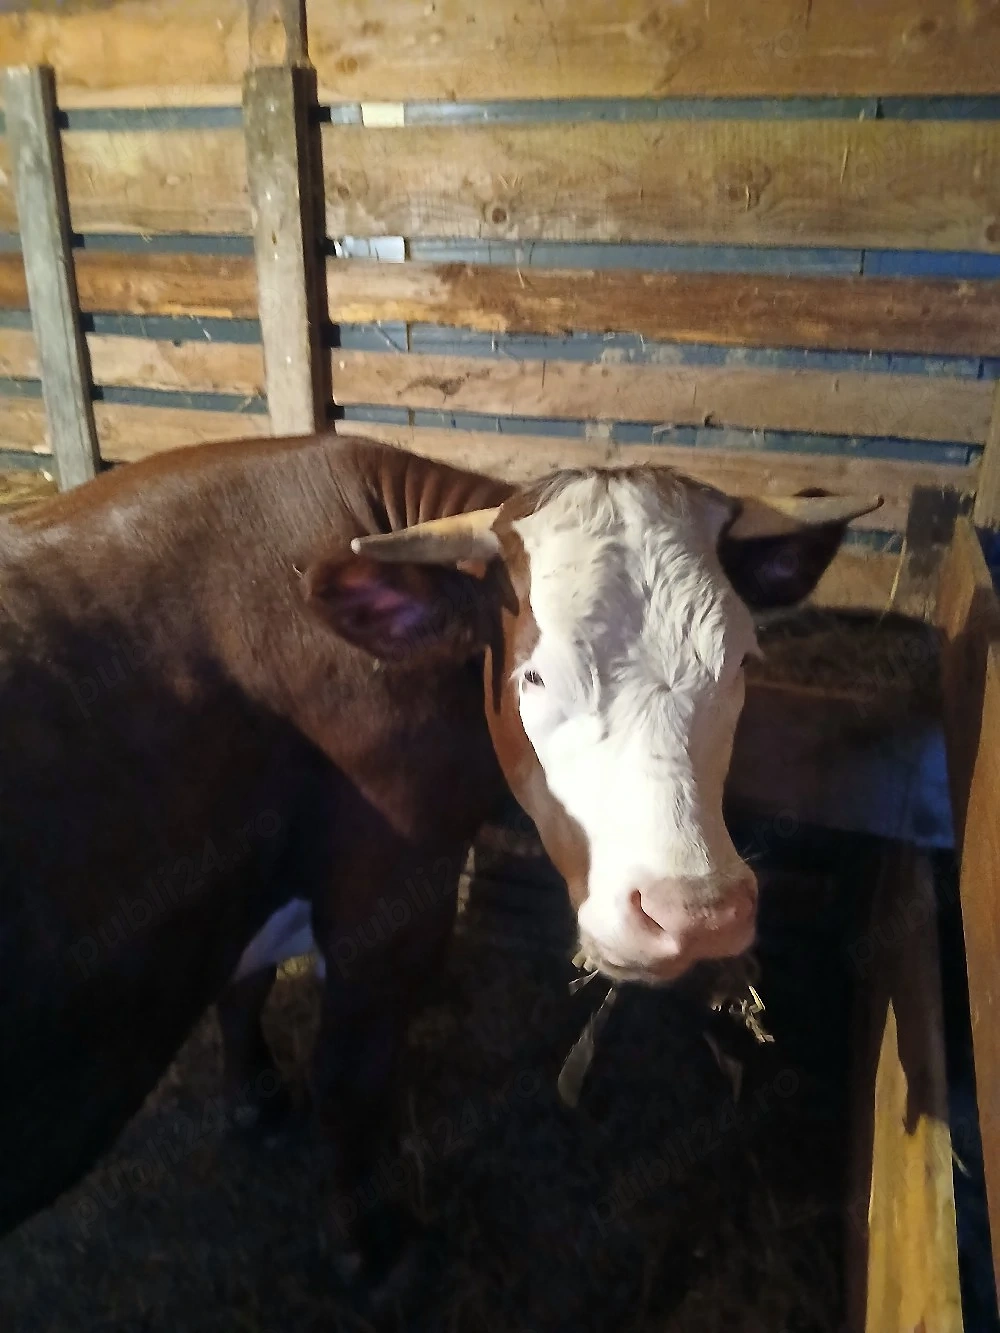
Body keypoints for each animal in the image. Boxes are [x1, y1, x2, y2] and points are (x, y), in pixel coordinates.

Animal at [0, 430, 878, 1303]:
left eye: (742, 660)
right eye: (535, 674)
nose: (695, 914)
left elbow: (243, 989)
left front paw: (258, 1102)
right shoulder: (392, 896)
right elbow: (350, 1081)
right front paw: (367, 1250)